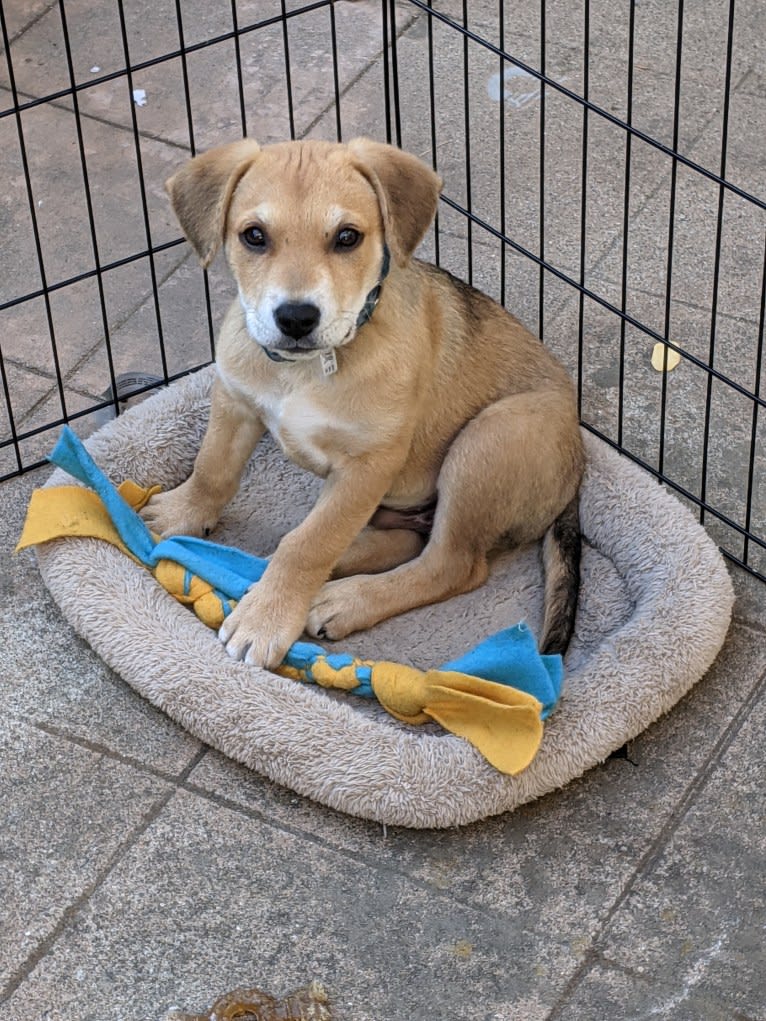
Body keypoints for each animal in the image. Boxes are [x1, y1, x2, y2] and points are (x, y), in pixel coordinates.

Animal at [140, 137, 584, 669]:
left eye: (347, 237)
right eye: (254, 236)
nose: (296, 318)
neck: (306, 370)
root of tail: (578, 469)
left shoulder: (367, 466)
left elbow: (310, 544)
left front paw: (266, 618)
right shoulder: (235, 401)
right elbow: (213, 470)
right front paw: (180, 514)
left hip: (491, 439)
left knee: (451, 565)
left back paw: (343, 599)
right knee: (406, 540)